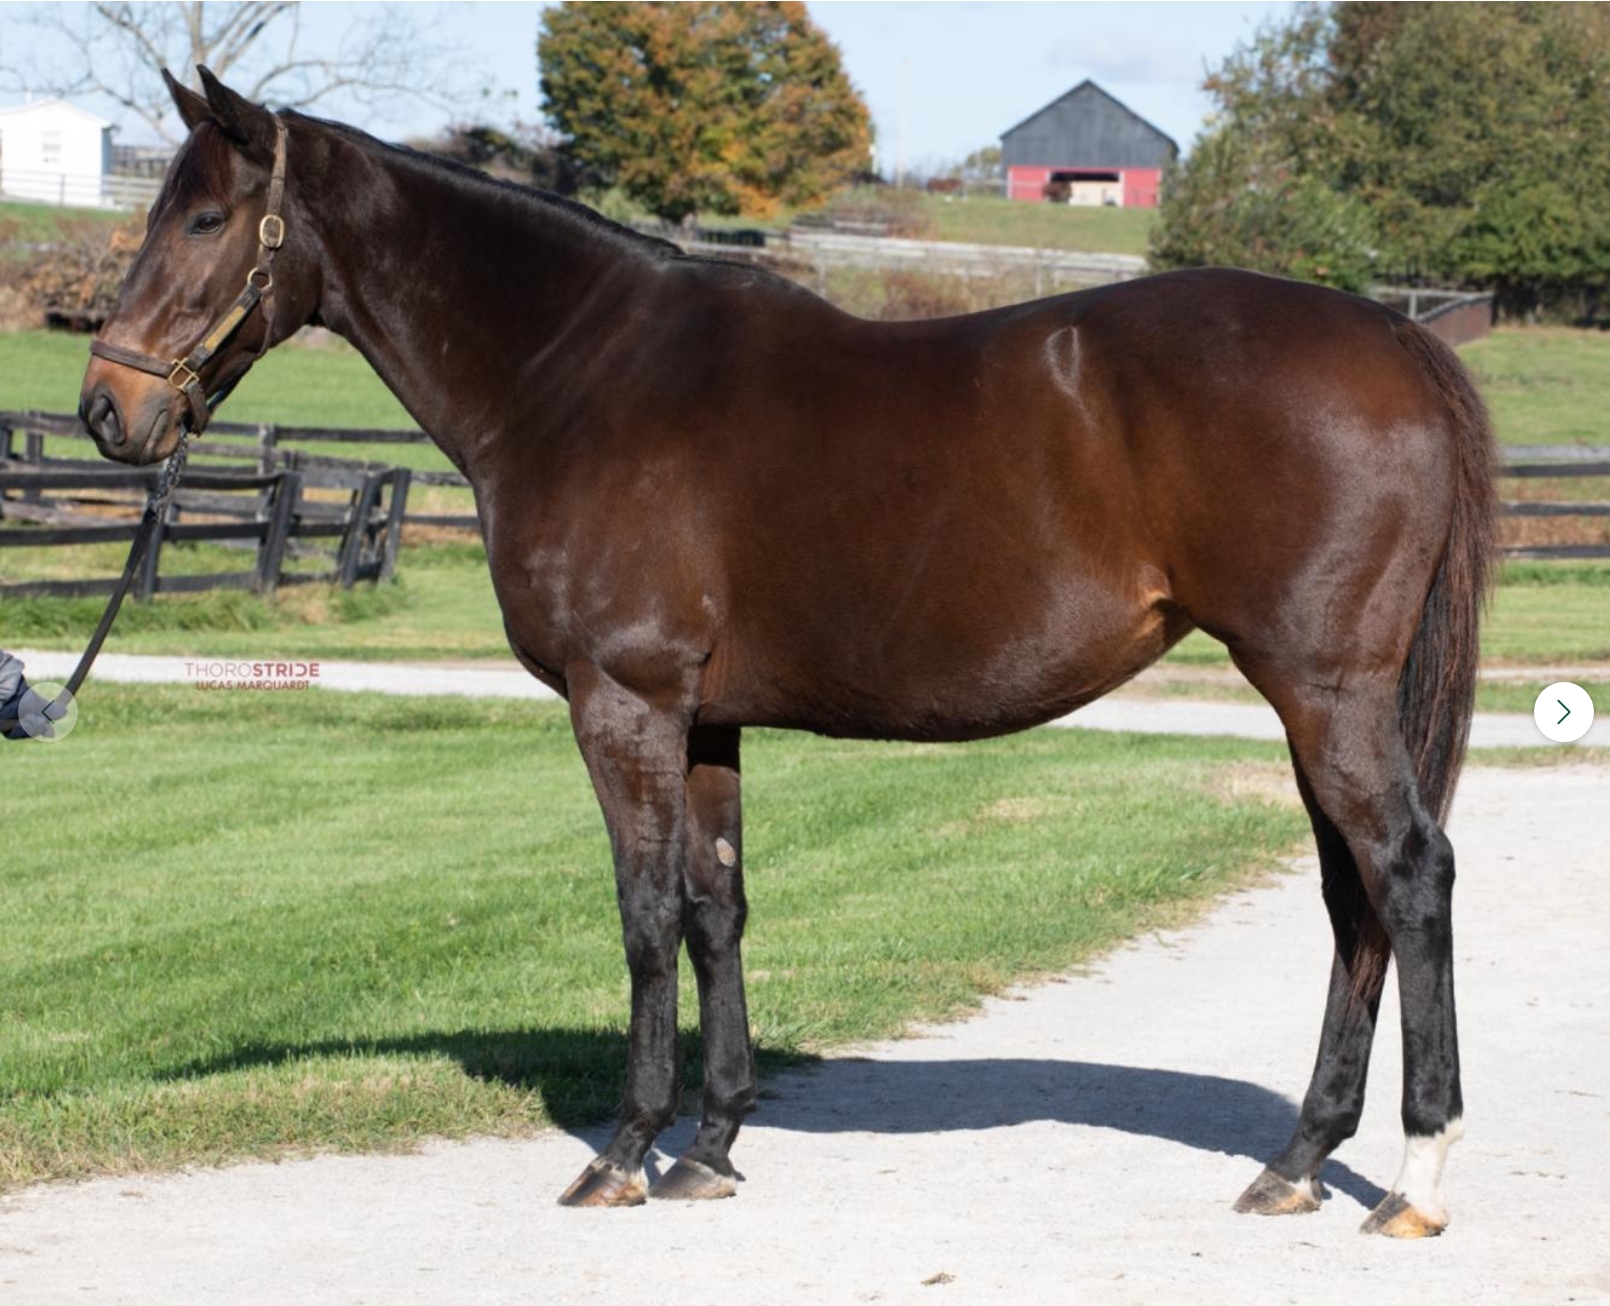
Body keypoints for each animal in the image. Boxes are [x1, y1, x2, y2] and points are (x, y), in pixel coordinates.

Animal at [80, 70, 1495, 1237]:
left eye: (204, 220)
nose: (108, 408)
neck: (577, 375)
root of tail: (1398, 338)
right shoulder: (703, 718)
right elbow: (717, 910)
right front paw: (709, 1146)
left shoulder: (624, 702)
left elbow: (645, 914)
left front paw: (624, 1151)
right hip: (1318, 706)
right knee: (1351, 900)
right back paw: (1298, 1161)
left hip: (1323, 694)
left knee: (1408, 876)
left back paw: (1414, 1178)